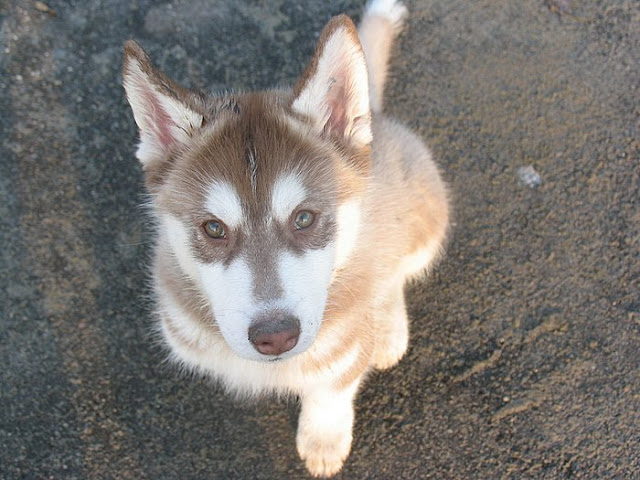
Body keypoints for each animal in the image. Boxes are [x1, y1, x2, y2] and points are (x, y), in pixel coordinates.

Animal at [123, 0, 449, 476]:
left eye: (304, 218)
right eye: (214, 228)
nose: (275, 337)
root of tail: (376, 119)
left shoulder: (345, 350)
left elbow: (331, 390)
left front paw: (323, 439)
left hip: (426, 224)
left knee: (394, 273)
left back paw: (389, 328)